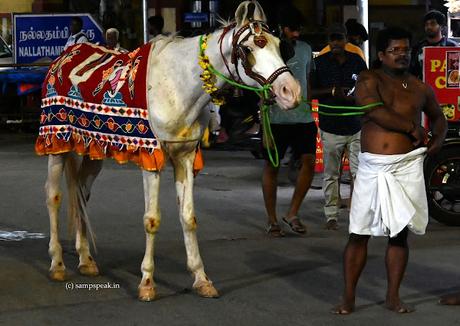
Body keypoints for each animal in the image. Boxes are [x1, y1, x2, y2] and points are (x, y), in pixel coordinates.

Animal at [36, 0, 302, 300]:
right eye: (248, 49)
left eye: (279, 45)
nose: (290, 91)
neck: (180, 86)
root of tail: (62, 58)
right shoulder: (151, 159)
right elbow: (152, 220)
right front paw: (147, 283)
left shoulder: (184, 157)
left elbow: (188, 217)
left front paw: (201, 278)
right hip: (56, 142)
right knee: (54, 196)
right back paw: (57, 263)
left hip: (93, 149)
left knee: (80, 193)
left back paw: (85, 259)